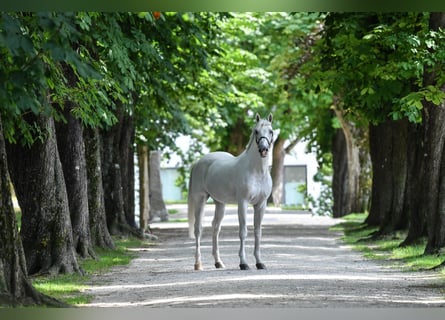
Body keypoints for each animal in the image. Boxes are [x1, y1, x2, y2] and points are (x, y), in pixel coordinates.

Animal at [186, 112, 272, 270]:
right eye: (256, 131)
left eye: (271, 131)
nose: (263, 149)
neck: (256, 171)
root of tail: (198, 162)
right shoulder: (243, 202)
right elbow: (243, 232)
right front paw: (243, 263)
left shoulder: (261, 204)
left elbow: (258, 232)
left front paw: (259, 262)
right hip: (200, 199)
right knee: (198, 229)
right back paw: (198, 264)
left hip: (220, 203)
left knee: (215, 227)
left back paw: (218, 262)